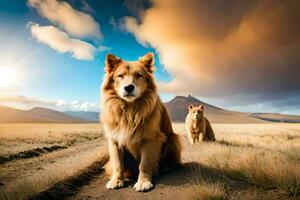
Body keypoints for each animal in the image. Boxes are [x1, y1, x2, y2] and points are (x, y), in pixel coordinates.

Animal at [101, 52, 182, 191]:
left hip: (173, 138)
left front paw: (143, 182)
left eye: (139, 75)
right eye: (120, 76)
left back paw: (167, 166)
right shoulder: (114, 139)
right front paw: (116, 180)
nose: (129, 87)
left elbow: (144, 163)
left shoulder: (151, 138)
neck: (130, 110)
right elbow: (117, 163)